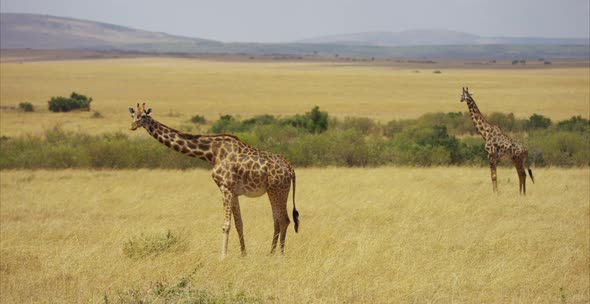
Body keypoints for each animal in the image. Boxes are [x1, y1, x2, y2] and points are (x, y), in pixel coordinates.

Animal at [126, 103, 298, 258]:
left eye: (143, 116)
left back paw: (280, 255)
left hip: (278, 190)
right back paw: (271, 253)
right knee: (277, 220)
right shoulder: (234, 192)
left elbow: (226, 225)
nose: (133, 126)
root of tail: (290, 167)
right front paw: (243, 254)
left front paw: (223, 256)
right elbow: (239, 224)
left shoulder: (225, 187)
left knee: (284, 220)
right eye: (133, 115)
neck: (211, 153)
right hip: (273, 191)